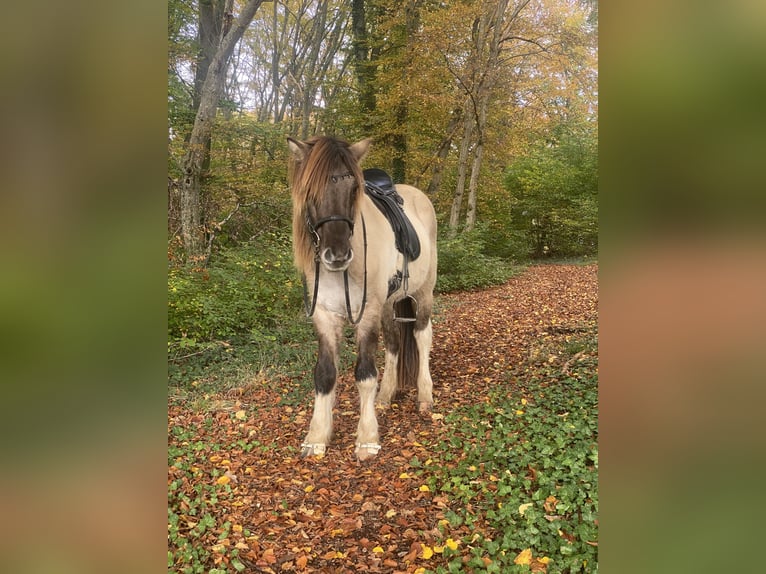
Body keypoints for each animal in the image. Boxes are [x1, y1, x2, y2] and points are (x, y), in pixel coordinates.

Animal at [290, 136, 438, 464]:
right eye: (309, 191)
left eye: (354, 189)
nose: (337, 255)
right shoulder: (324, 316)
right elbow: (324, 374)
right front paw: (316, 438)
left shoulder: (367, 313)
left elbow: (365, 374)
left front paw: (367, 439)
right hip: (389, 304)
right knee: (395, 344)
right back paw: (385, 396)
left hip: (423, 293)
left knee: (422, 337)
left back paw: (425, 395)